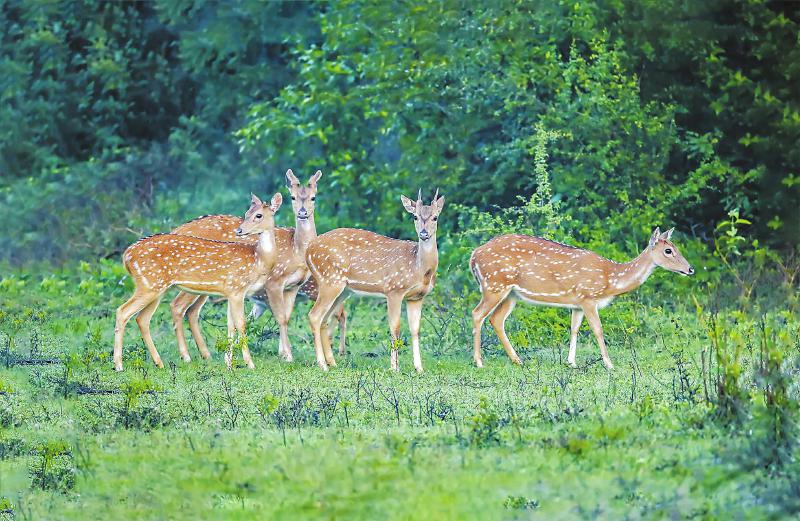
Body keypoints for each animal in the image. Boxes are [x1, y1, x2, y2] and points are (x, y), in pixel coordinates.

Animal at [114, 193, 282, 372]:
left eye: (258, 215)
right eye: (246, 213)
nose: (239, 230)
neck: (258, 260)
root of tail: (126, 256)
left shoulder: (231, 292)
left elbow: (231, 325)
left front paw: (229, 364)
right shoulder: (236, 288)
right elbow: (241, 324)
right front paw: (249, 364)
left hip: (155, 287)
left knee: (142, 319)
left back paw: (159, 363)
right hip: (149, 284)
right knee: (123, 311)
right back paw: (119, 365)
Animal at [167, 171, 346, 362]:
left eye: (314, 197)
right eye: (293, 197)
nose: (302, 213)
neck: (296, 250)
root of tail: (176, 230)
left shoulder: (293, 286)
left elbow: (286, 316)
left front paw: (282, 352)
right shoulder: (274, 281)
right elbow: (281, 317)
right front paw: (287, 355)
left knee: (192, 311)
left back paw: (206, 354)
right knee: (177, 306)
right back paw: (186, 356)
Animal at [304, 189, 444, 372]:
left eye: (435, 217)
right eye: (415, 216)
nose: (424, 234)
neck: (419, 268)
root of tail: (308, 250)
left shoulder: (416, 297)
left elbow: (416, 330)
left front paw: (419, 368)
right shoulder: (394, 289)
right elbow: (395, 327)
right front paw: (394, 368)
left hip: (342, 290)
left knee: (324, 319)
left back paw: (332, 363)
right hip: (330, 280)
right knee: (314, 315)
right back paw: (323, 365)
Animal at [468, 229, 692, 370]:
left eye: (677, 247)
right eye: (668, 250)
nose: (690, 269)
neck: (610, 280)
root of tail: (473, 255)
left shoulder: (576, 303)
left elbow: (574, 329)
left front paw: (571, 362)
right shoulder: (588, 297)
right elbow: (598, 330)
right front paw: (609, 365)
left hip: (511, 293)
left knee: (496, 319)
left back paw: (517, 360)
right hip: (494, 285)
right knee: (477, 314)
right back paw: (479, 362)